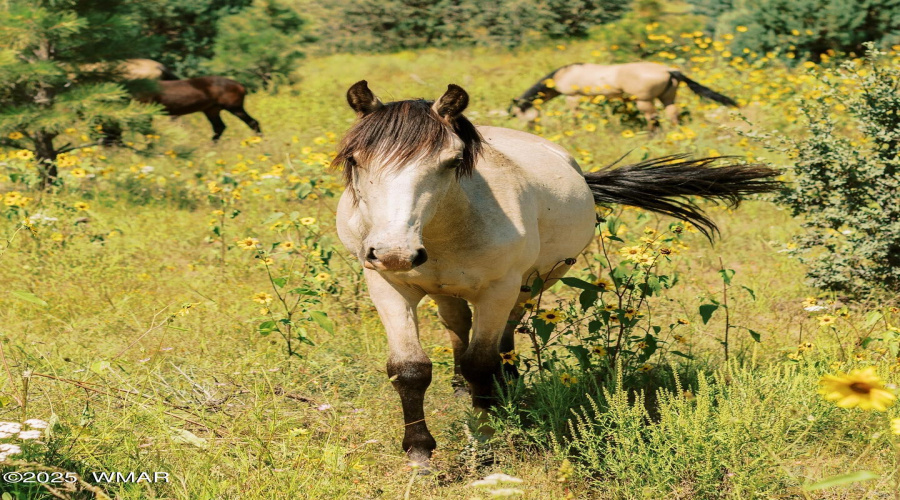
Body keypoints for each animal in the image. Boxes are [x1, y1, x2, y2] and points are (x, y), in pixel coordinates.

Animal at [334, 80, 776, 470]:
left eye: (452, 163)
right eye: (354, 159)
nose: (395, 252)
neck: (447, 226)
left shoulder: (498, 289)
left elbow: (481, 364)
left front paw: (483, 443)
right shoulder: (387, 284)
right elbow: (409, 369)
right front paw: (419, 453)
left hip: (530, 283)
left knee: (505, 332)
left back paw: (506, 383)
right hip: (446, 288)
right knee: (457, 324)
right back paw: (462, 387)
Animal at [510, 61, 740, 132]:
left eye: (518, 113)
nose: (530, 128)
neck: (563, 75)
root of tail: (669, 70)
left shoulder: (572, 96)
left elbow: (575, 114)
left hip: (644, 101)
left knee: (652, 118)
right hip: (668, 98)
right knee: (672, 113)